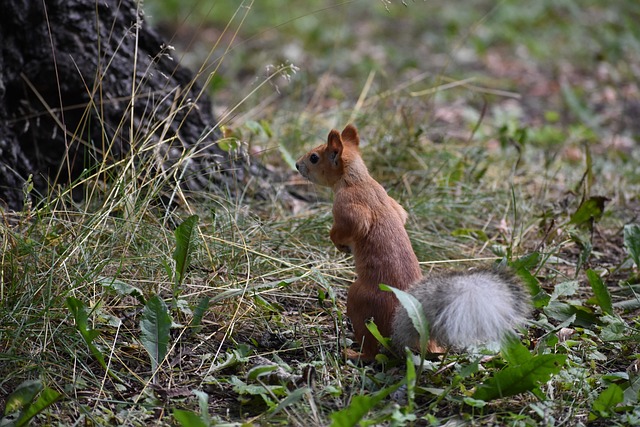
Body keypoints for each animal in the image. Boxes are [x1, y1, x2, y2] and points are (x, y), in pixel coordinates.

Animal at [296, 123, 528, 362]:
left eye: (314, 157)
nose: (297, 165)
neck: (357, 180)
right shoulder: (394, 205)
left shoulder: (349, 206)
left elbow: (351, 226)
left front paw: (338, 243)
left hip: (359, 300)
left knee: (371, 348)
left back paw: (354, 353)